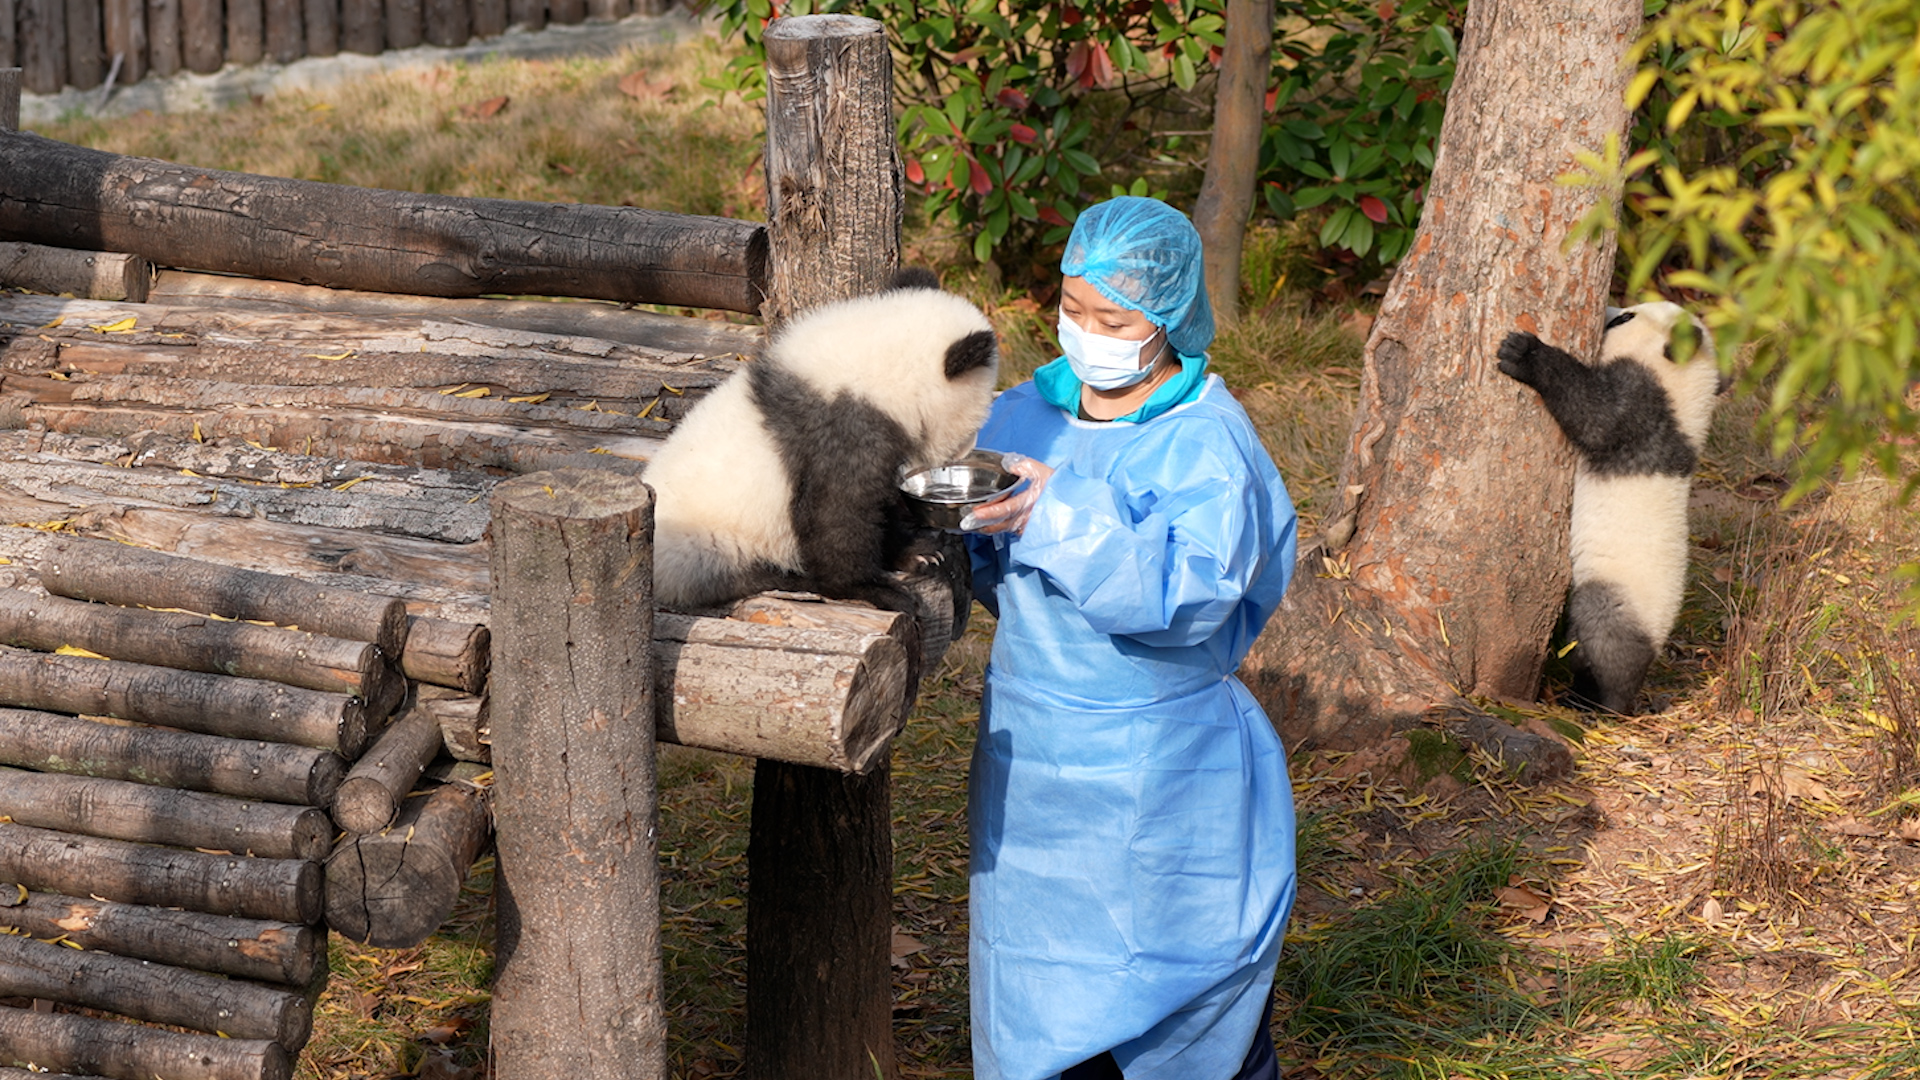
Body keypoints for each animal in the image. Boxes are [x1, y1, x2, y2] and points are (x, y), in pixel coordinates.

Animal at [644, 268, 999, 621]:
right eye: (979, 416)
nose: (965, 450)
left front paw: (916, 553)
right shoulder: (841, 434)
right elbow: (838, 515)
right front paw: (874, 587)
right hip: (706, 543)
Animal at [1495, 301, 1725, 714]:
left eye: (1626, 318)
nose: (1608, 309)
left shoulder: (1645, 408)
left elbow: (1595, 415)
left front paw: (1523, 352)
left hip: (1619, 595)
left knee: (1603, 643)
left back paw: (1597, 701)